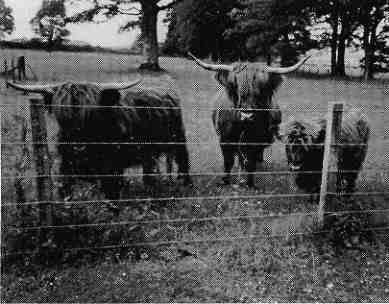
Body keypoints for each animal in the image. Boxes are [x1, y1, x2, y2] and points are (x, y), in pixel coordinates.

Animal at [6, 81, 192, 200]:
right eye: (62, 116)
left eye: (90, 115)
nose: (78, 147)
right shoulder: (67, 163)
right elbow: (65, 190)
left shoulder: (111, 167)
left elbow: (110, 191)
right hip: (148, 151)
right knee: (149, 168)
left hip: (178, 139)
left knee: (183, 161)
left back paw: (185, 184)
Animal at [188, 52, 310, 188]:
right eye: (236, 86)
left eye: (262, 89)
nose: (247, 115)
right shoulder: (225, 139)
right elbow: (228, 161)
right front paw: (224, 181)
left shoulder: (257, 141)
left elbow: (251, 163)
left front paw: (250, 183)